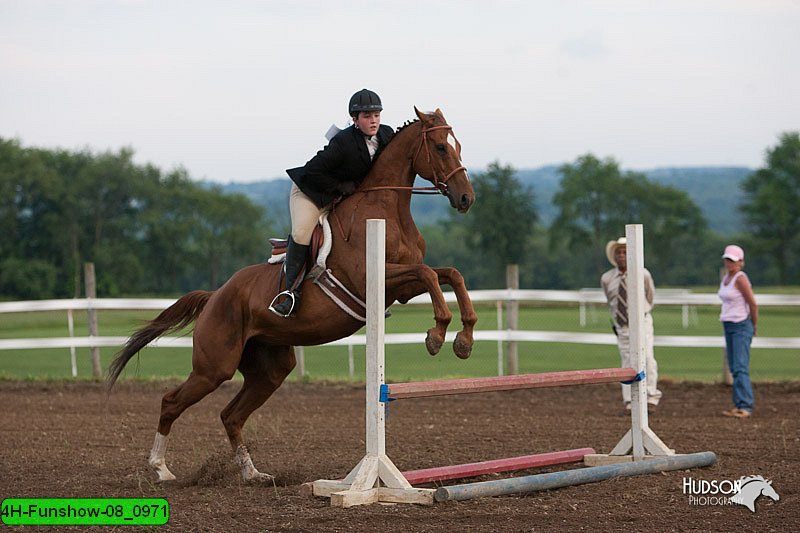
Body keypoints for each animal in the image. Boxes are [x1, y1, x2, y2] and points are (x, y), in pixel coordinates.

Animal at [106, 107, 476, 482]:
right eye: (440, 147)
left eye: (458, 145)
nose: (466, 199)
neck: (387, 208)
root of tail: (215, 296)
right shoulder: (374, 279)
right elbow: (430, 274)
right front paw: (437, 334)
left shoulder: (401, 288)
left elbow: (449, 275)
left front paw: (463, 340)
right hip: (214, 368)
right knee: (172, 402)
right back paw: (161, 468)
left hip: (269, 368)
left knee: (231, 415)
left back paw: (253, 474)